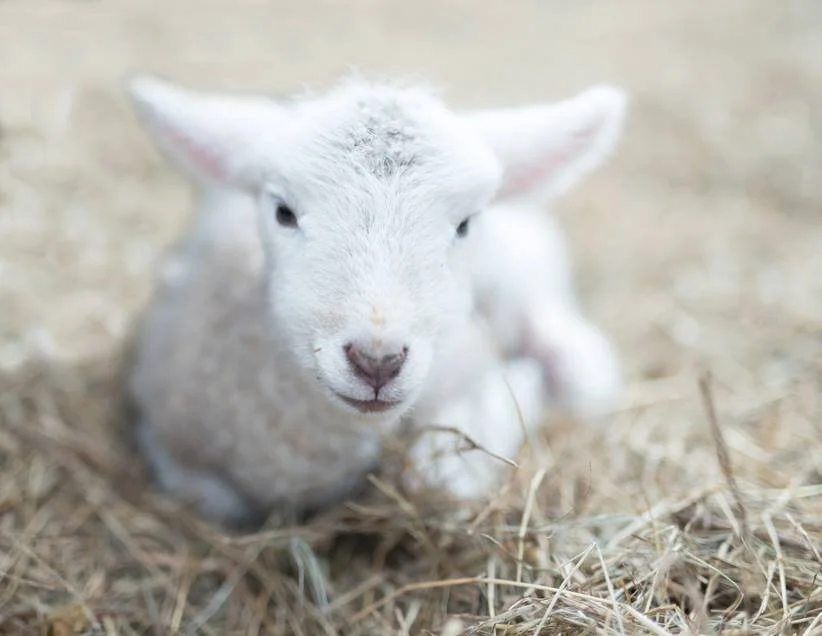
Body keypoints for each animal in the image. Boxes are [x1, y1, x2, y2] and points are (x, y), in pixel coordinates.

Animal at [124, 74, 628, 527]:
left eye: (466, 223)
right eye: (283, 212)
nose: (377, 361)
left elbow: (439, 476)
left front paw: (519, 387)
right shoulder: (170, 439)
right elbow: (213, 500)